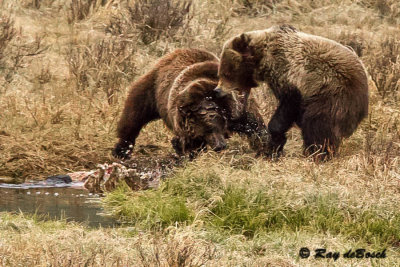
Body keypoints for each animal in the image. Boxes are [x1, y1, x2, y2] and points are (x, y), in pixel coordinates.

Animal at [111, 48, 268, 159]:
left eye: (217, 122)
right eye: (207, 129)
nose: (220, 146)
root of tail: (172, 54)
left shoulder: (240, 108)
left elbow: (255, 127)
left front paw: (266, 151)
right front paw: (186, 152)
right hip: (151, 89)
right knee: (133, 116)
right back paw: (122, 150)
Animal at [216, 25, 368, 160]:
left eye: (226, 73)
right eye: (221, 73)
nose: (218, 90)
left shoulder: (293, 78)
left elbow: (287, 107)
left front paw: (274, 139)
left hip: (332, 96)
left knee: (319, 125)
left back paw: (318, 153)